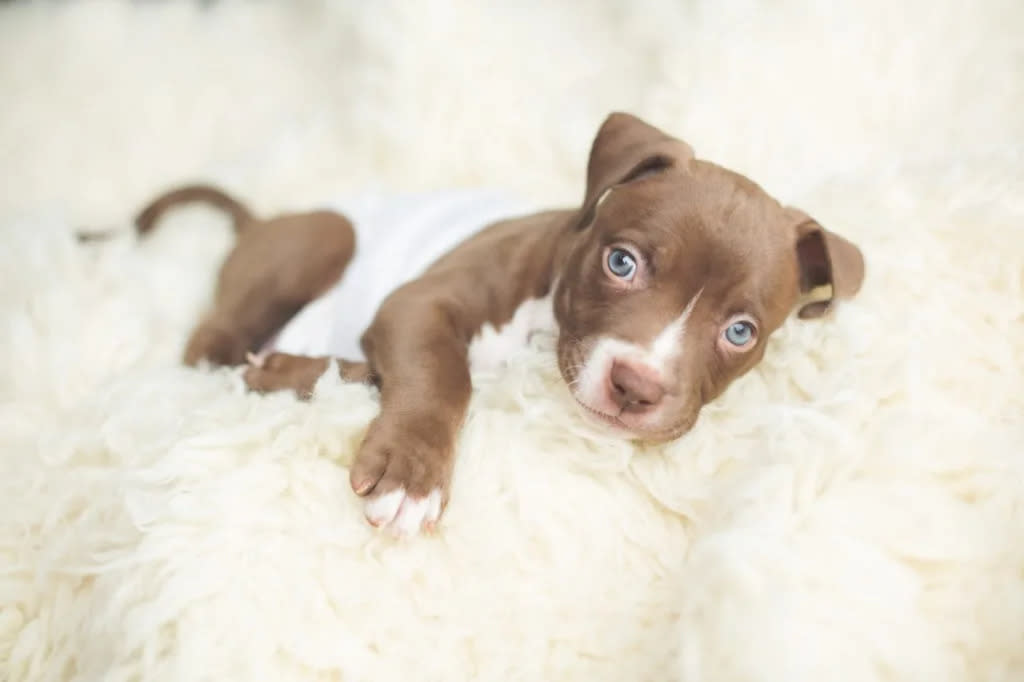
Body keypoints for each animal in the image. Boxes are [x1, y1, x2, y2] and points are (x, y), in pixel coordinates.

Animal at [132, 112, 860, 536]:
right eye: (621, 262)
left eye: (740, 332)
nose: (637, 387)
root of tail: (260, 223)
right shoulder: (418, 303)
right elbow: (441, 374)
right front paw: (412, 477)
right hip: (323, 242)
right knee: (214, 350)